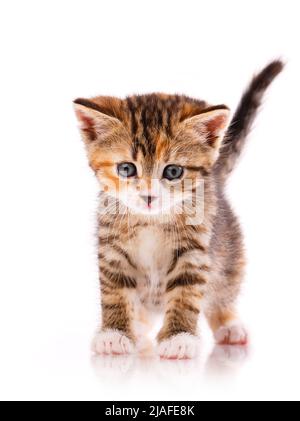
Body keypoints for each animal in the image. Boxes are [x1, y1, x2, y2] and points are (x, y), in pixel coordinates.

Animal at [73, 61, 284, 358]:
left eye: (173, 172)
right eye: (126, 169)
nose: (149, 196)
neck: (151, 220)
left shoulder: (195, 251)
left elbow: (187, 294)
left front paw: (179, 338)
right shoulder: (111, 248)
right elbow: (114, 292)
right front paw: (114, 334)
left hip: (229, 251)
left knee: (225, 285)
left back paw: (228, 323)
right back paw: (138, 327)